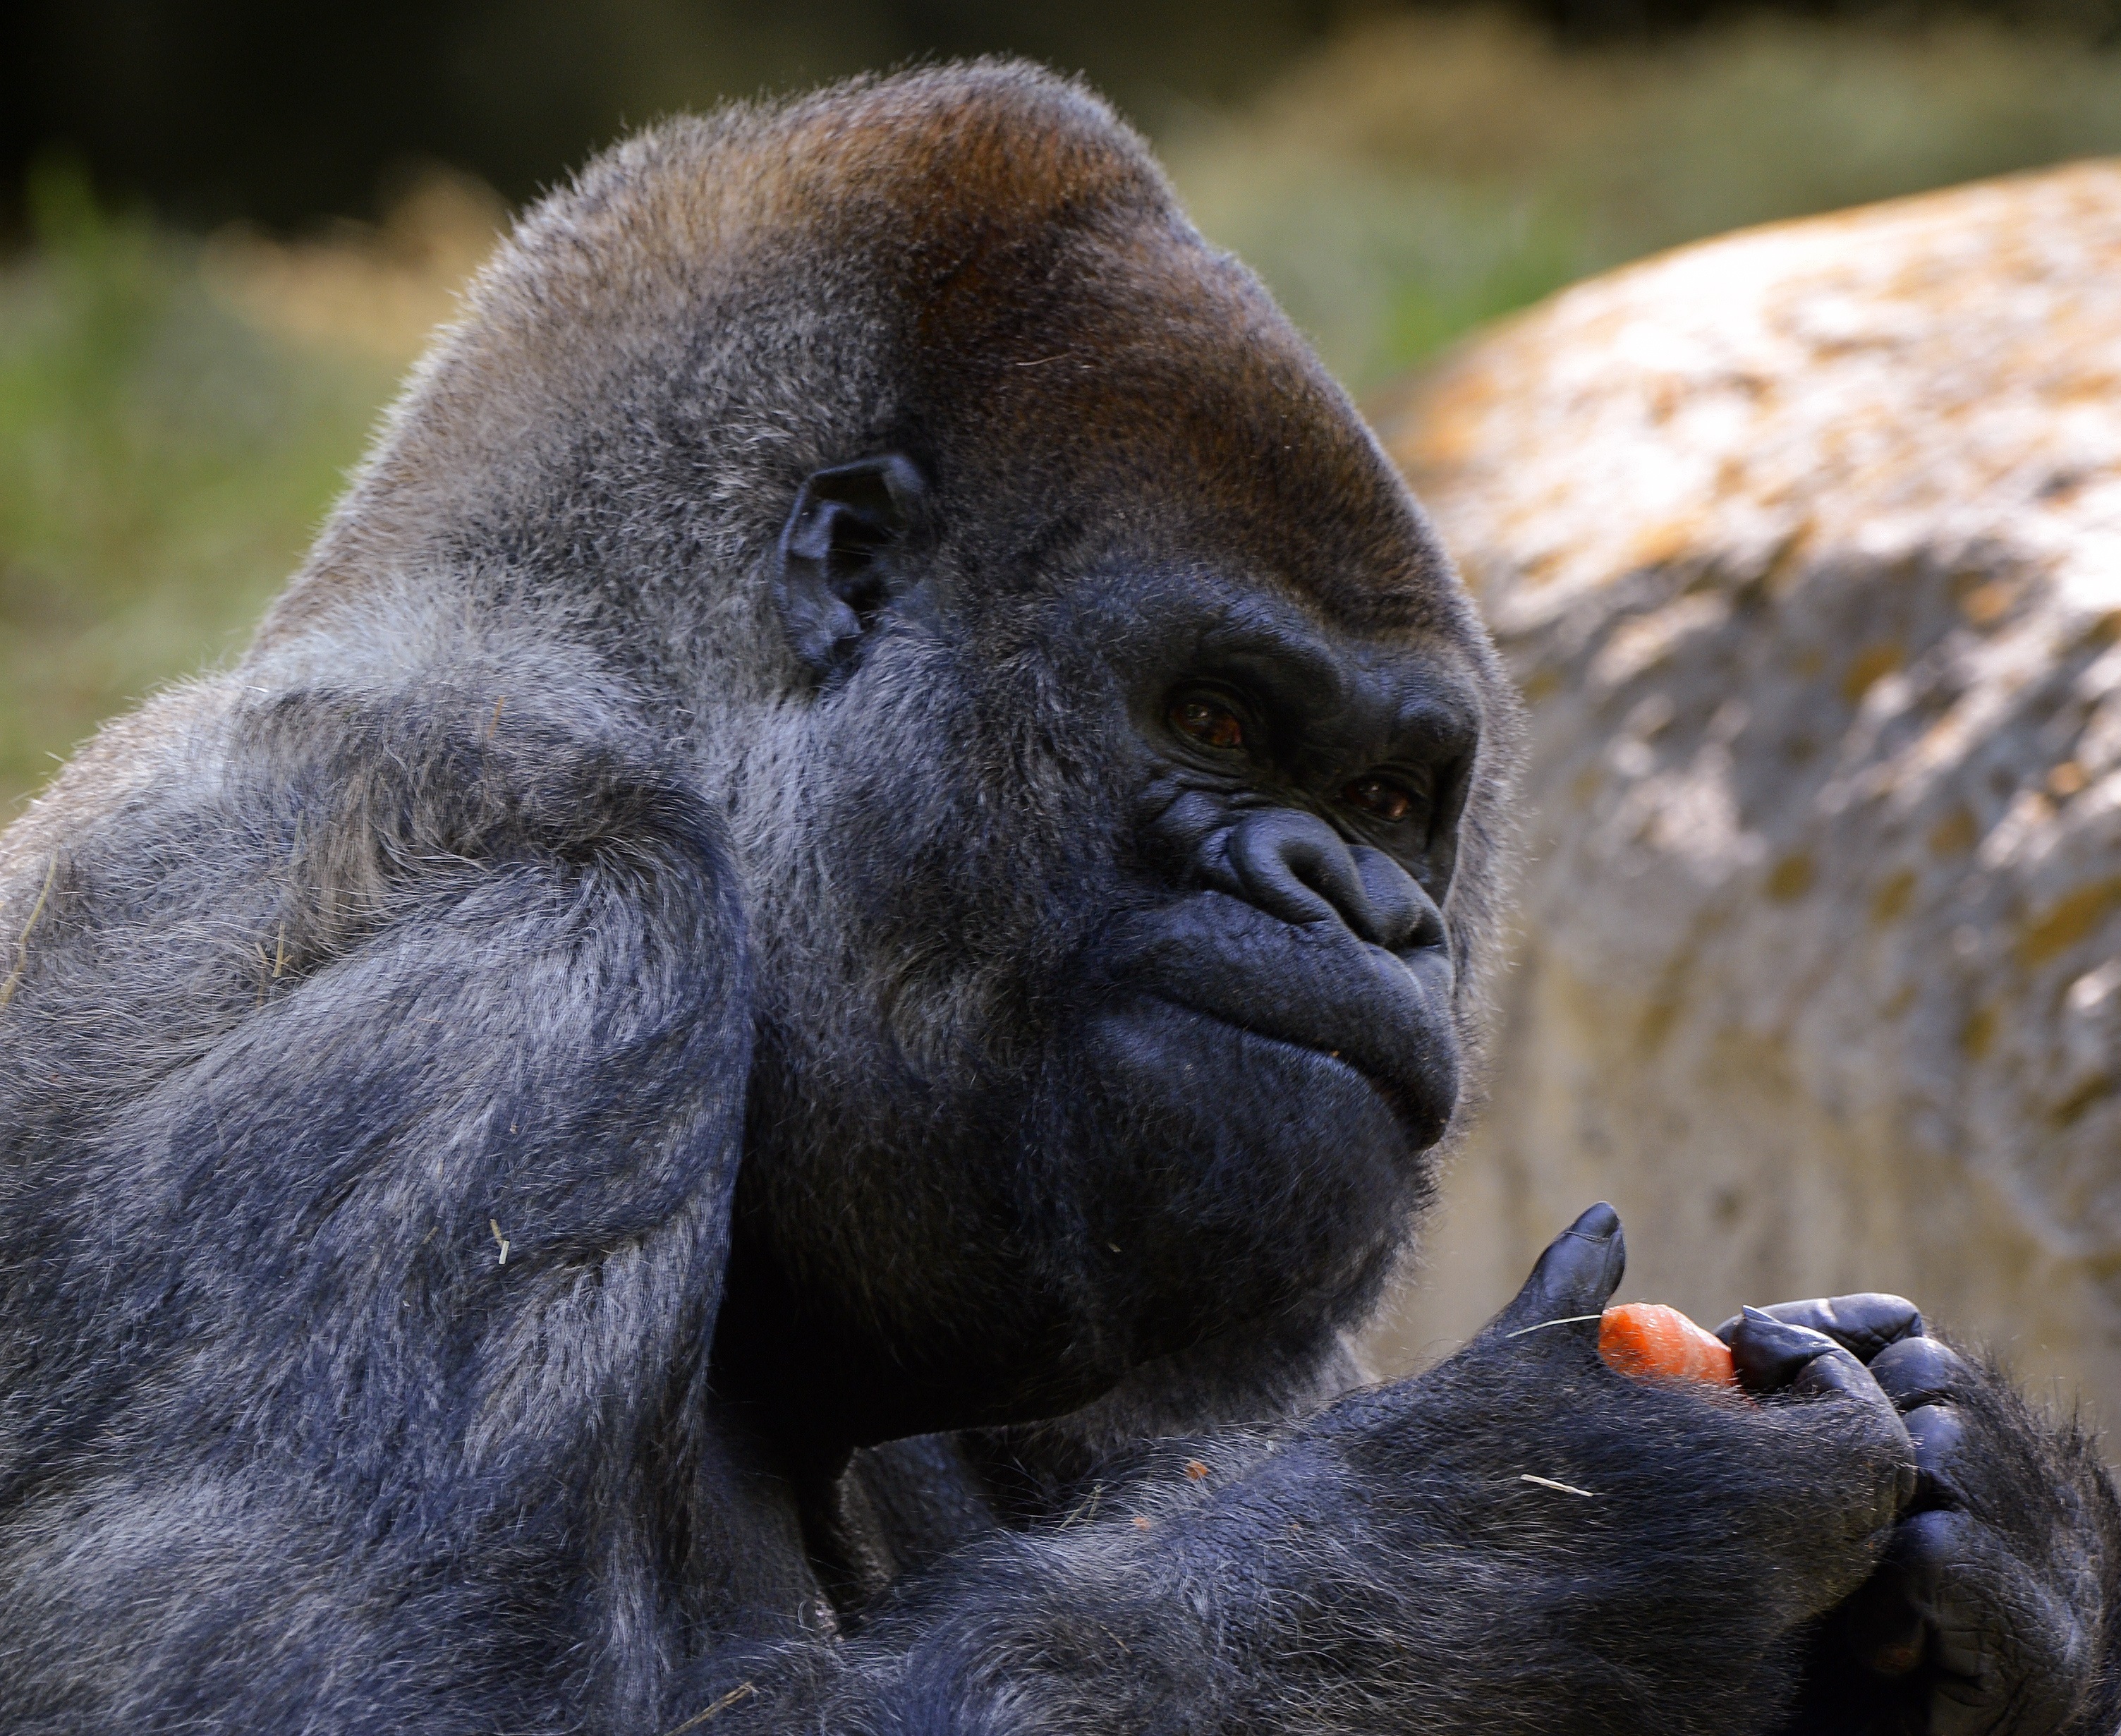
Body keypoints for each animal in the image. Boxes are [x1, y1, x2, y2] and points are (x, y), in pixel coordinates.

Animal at [4, 57, 2121, 1731]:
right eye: (1213, 712)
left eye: (1387, 795)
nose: (1360, 901)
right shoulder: (504, 952)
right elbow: (361, 1701)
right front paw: (1535, 1540)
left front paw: (2020, 1553)